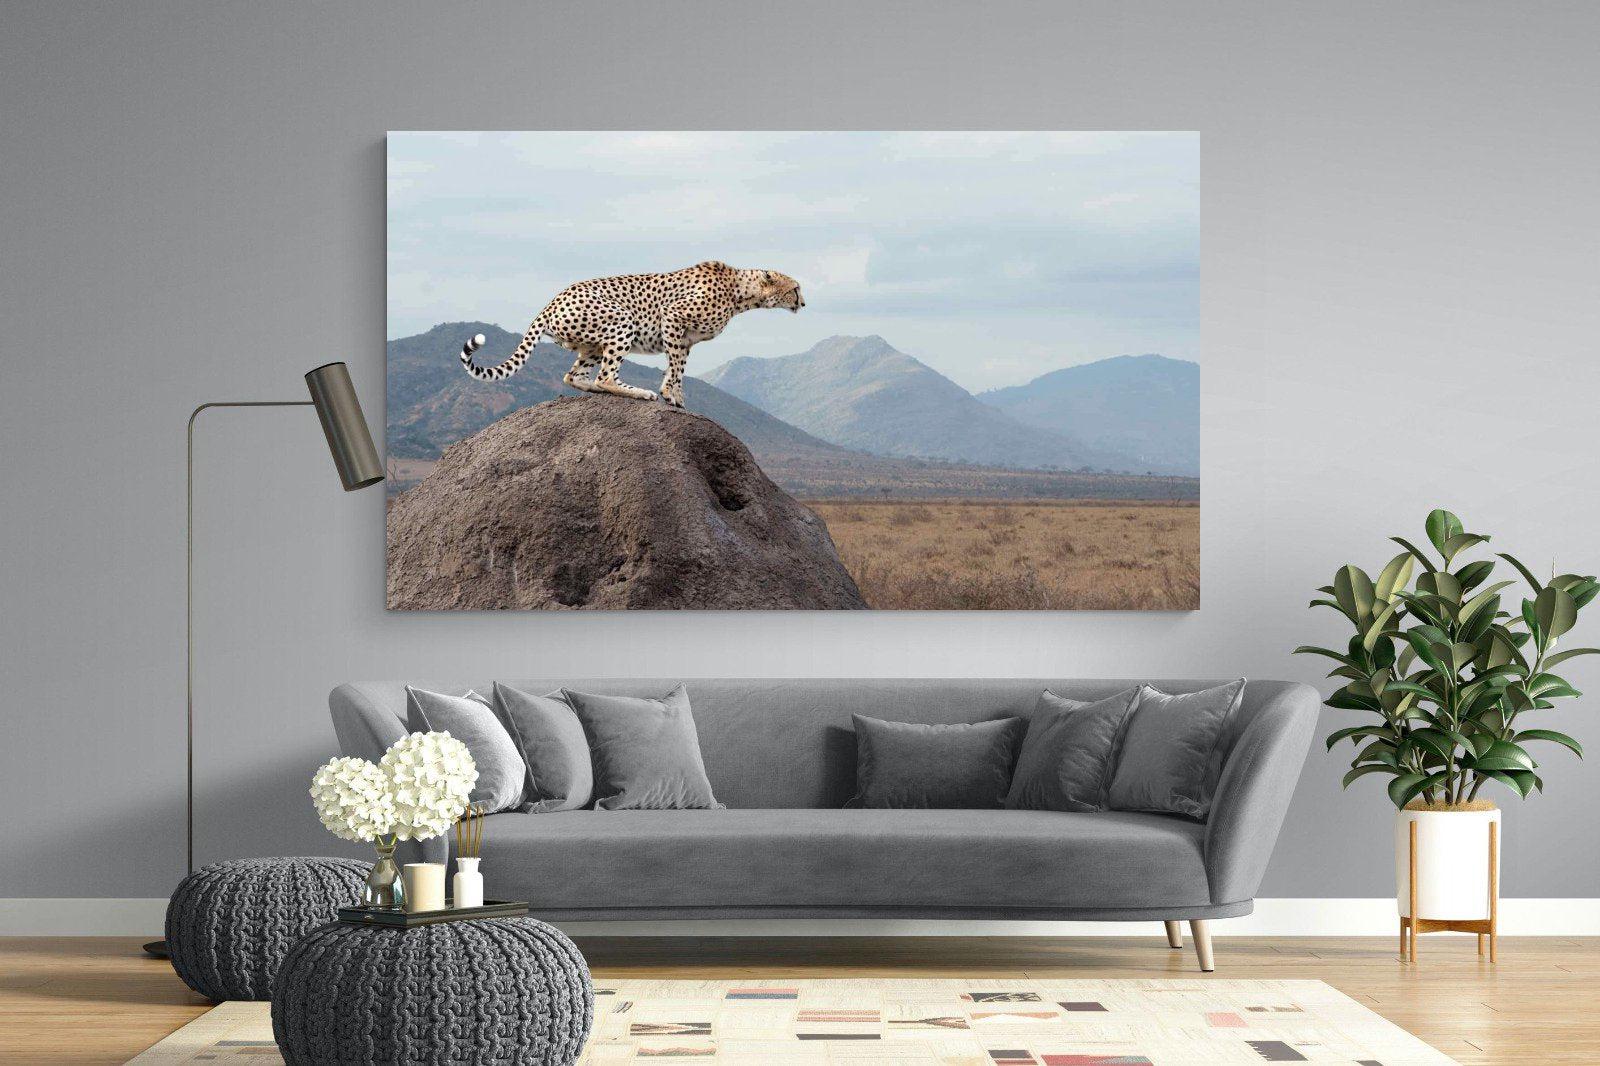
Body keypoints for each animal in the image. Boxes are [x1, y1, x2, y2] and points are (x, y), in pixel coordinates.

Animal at [458, 261, 804, 407]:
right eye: (796, 288)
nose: (803, 302)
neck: (740, 292)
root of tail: (554, 299)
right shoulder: (672, 317)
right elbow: (675, 367)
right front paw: (668, 394)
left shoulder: (685, 338)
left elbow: (678, 368)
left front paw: (676, 396)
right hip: (622, 320)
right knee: (605, 377)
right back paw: (638, 392)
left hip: (592, 345)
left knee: (574, 376)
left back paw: (596, 389)